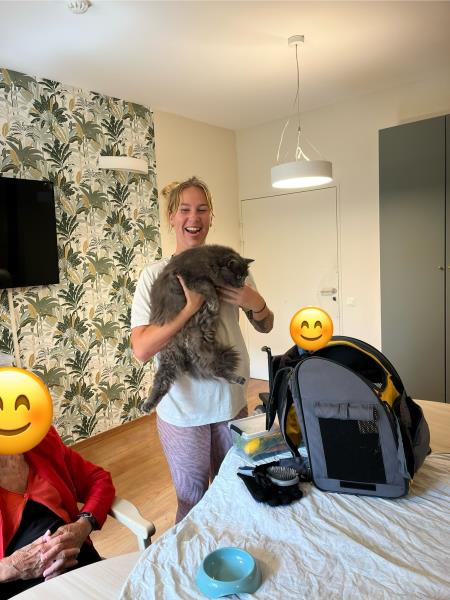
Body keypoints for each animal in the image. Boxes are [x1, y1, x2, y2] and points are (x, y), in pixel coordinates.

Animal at [141, 244, 254, 413]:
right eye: (239, 276)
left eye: (245, 276)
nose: (241, 285)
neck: (210, 261)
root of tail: (186, 348)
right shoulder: (190, 279)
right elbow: (208, 287)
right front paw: (214, 303)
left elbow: (211, 287)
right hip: (172, 357)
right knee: (161, 382)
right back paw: (148, 404)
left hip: (201, 352)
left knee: (215, 370)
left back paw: (237, 378)